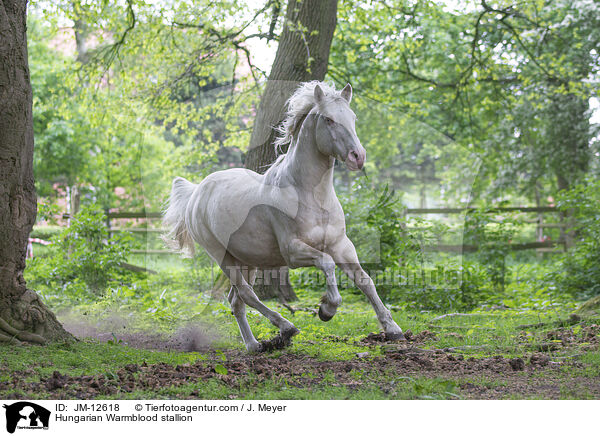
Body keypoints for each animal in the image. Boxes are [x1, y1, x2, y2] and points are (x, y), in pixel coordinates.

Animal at [164, 82, 404, 352]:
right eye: (329, 119)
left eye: (353, 118)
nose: (358, 156)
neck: (312, 196)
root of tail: (197, 192)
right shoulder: (293, 251)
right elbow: (326, 263)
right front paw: (326, 310)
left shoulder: (341, 245)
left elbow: (365, 281)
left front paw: (393, 329)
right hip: (222, 256)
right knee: (247, 294)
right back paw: (286, 329)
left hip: (247, 259)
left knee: (236, 300)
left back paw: (254, 344)